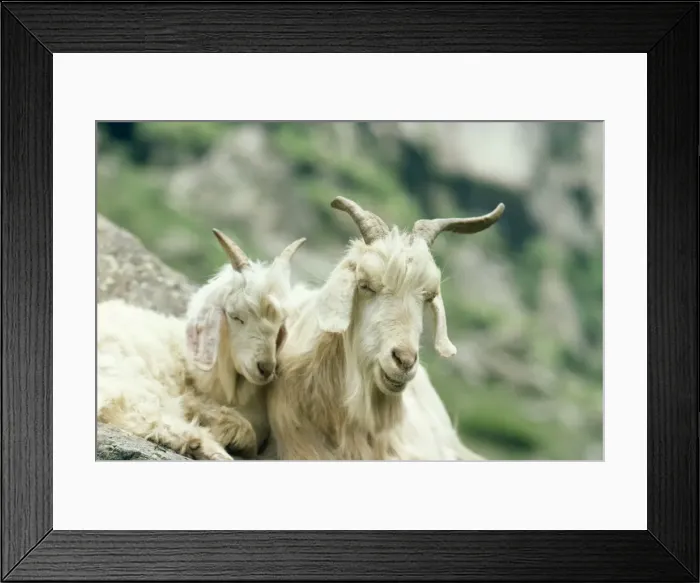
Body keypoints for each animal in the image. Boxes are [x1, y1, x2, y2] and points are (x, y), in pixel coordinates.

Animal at [97, 229, 305, 460]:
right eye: (235, 316)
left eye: (280, 322)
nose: (266, 368)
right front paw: (232, 433)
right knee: (141, 412)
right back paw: (207, 448)